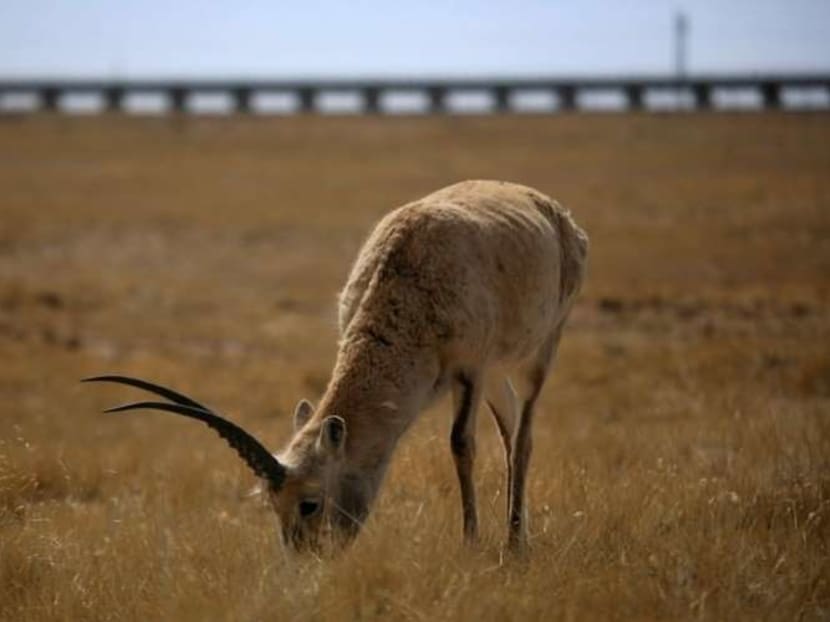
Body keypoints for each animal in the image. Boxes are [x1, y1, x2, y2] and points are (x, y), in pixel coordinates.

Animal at [85, 180, 588, 551]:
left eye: (309, 503)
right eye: (272, 503)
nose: (305, 558)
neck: (410, 274)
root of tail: (553, 212)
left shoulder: (471, 368)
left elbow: (460, 444)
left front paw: (470, 543)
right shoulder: (470, 372)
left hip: (539, 350)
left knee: (524, 434)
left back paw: (515, 542)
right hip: (500, 375)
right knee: (510, 425)